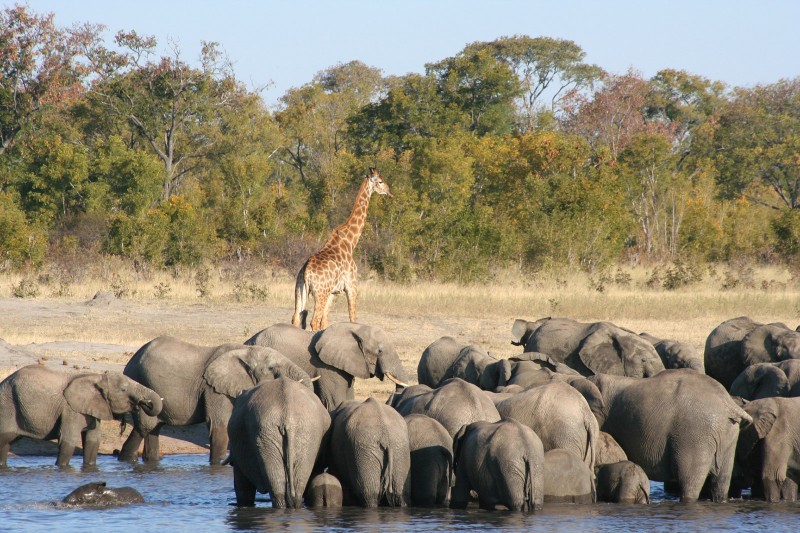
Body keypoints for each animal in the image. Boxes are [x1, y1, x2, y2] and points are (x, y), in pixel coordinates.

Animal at [0, 365, 162, 467]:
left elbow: (92, 441)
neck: (97, 378)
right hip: (7, 405)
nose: (145, 403)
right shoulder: (70, 410)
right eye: (123, 390)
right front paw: (61, 468)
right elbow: (68, 440)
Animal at [118, 336, 311, 464]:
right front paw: (217, 465)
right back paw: (126, 461)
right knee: (145, 426)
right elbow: (220, 425)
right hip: (140, 381)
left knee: (154, 429)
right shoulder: (213, 389)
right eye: (272, 368)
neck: (245, 351)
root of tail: (130, 361)